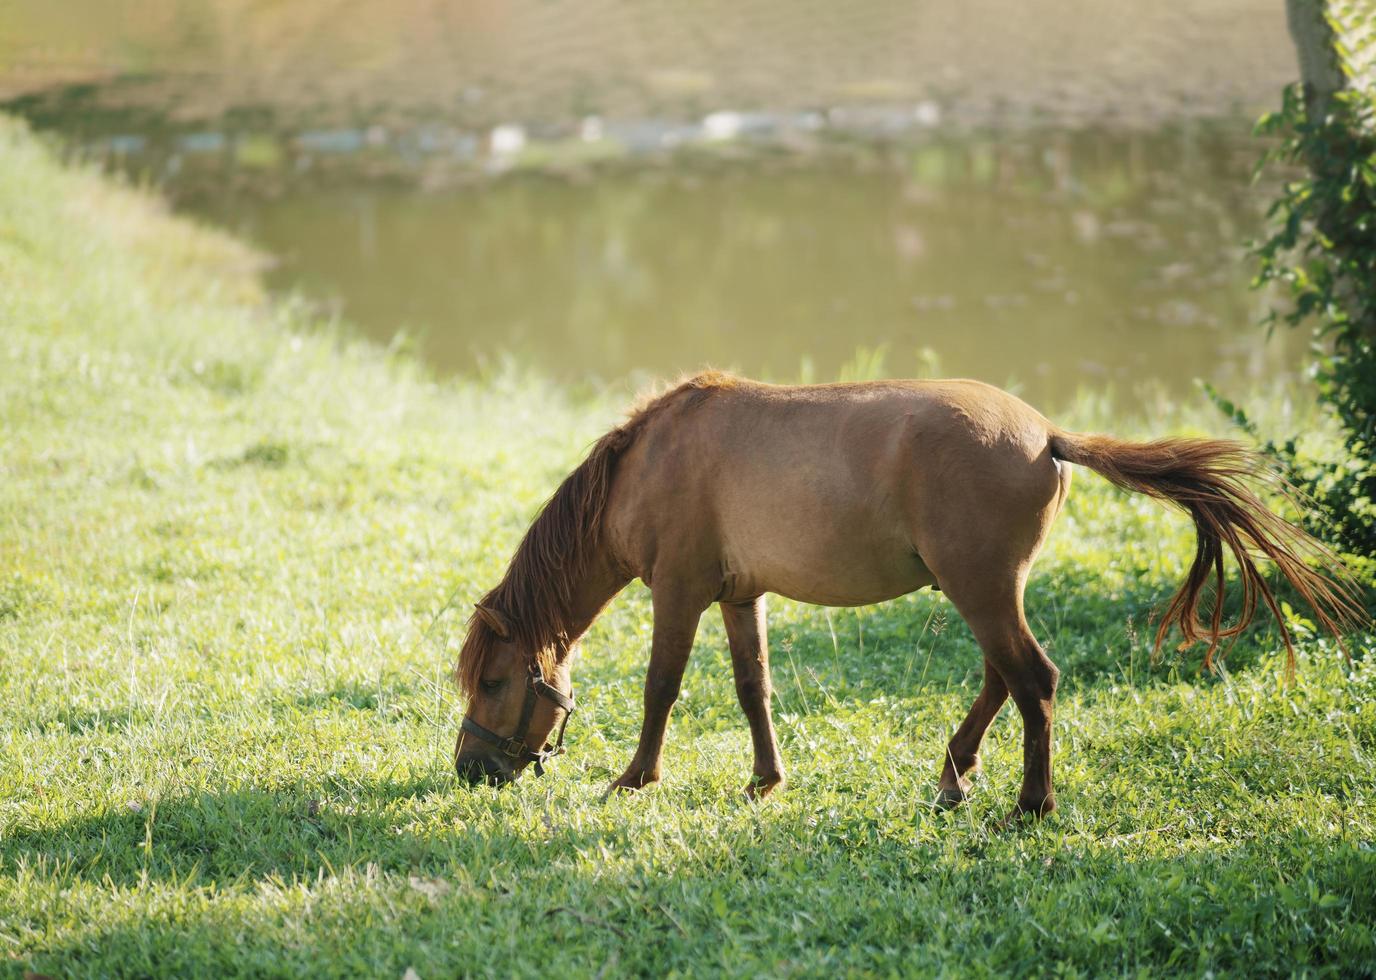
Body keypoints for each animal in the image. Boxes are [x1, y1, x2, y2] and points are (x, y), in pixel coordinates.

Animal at [454, 371, 1364, 820]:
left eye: (494, 682)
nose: (469, 770)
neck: (646, 464)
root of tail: (1046, 435)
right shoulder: (740, 596)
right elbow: (753, 689)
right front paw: (764, 781)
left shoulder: (678, 591)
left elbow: (661, 689)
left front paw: (635, 780)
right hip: (987, 590)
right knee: (1003, 679)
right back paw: (956, 774)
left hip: (979, 589)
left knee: (1033, 680)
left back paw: (1030, 803)